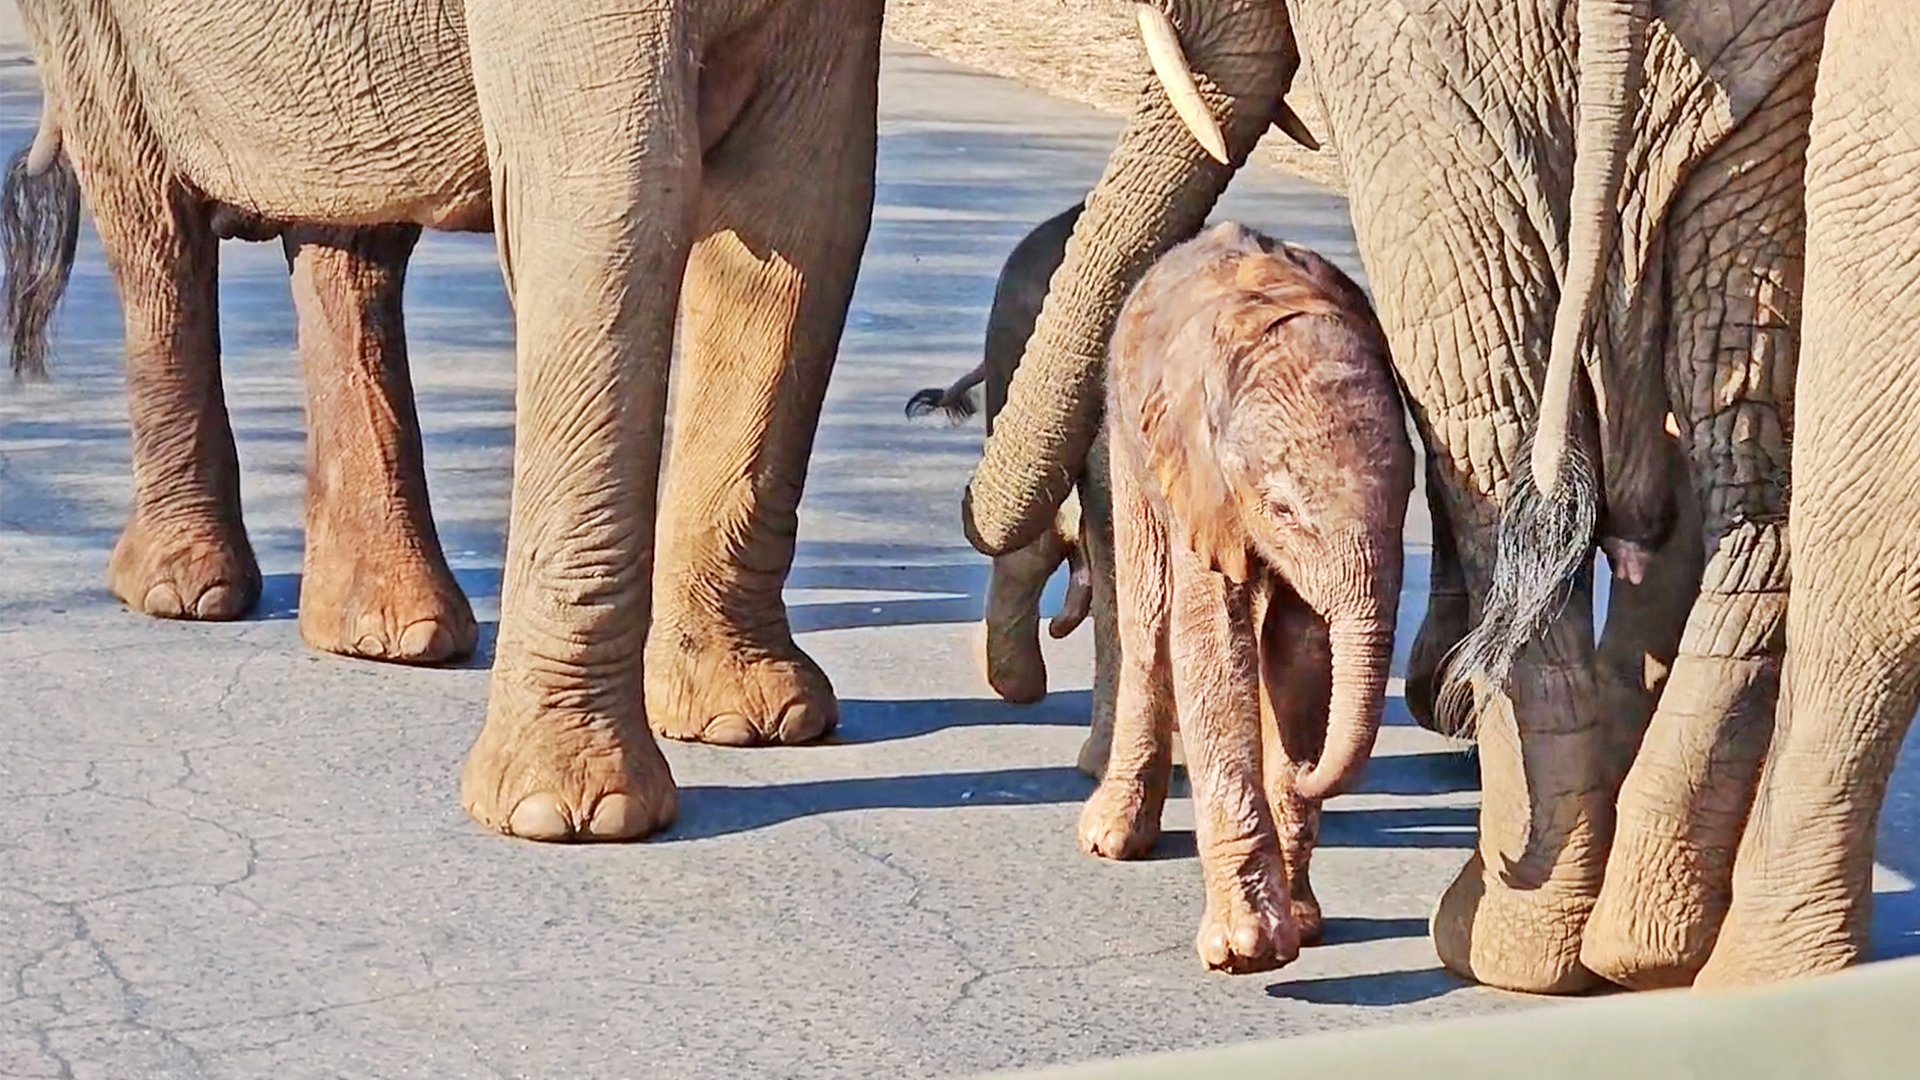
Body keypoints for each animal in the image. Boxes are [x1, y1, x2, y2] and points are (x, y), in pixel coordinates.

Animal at [10, 0, 888, 842]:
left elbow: (806, 206)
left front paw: (756, 721)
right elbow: (609, 199)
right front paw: (571, 819)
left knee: (349, 233)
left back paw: (392, 632)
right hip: (93, 37)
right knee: (152, 224)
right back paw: (189, 591)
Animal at [1087, 221, 1412, 972]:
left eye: (1411, 492)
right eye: (1283, 509)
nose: (1315, 771)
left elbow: (1301, 650)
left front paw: (1301, 923)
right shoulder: (1197, 472)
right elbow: (1210, 643)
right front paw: (1248, 950)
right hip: (1126, 436)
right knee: (1147, 615)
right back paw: (1111, 839)